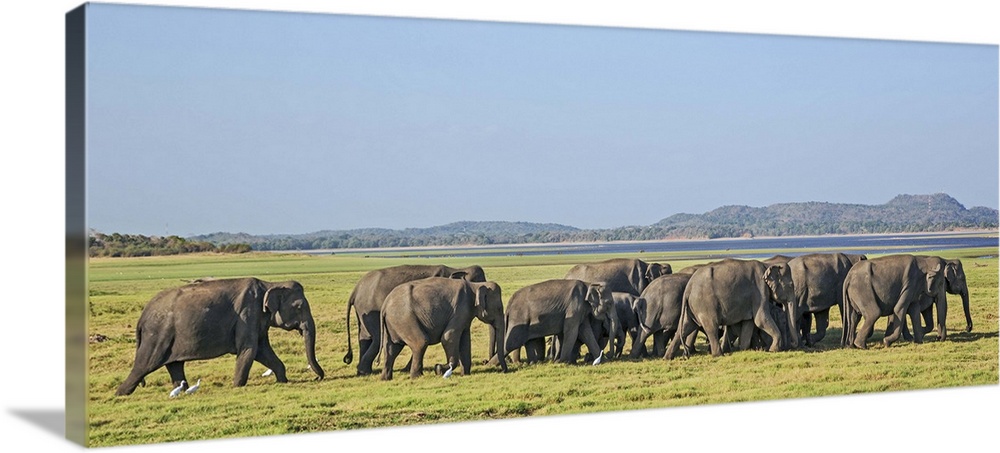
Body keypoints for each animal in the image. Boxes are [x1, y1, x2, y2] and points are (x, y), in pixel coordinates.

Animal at [116, 278, 324, 394]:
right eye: (299, 307)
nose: (318, 378)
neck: (270, 284)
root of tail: (142, 316)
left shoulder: (257, 320)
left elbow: (263, 350)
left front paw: (282, 381)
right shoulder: (247, 315)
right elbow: (249, 351)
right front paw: (237, 387)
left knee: (174, 365)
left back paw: (183, 391)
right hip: (157, 335)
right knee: (144, 365)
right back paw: (120, 394)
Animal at [342, 262, 486, 374]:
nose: (485, 362)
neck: (456, 269)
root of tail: (355, 290)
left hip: (363, 312)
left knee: (365, 337)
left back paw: (364, 371)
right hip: (370, 310)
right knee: (377, 338)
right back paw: (364, 371)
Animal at [376, 278, 504, 380]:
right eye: (499, 308)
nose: (505, 371)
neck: (475, 285)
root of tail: (384, 305)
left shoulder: (465, 315)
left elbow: (465, 341)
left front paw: (465, 374)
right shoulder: (460, 310)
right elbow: (448, 338)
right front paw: (438, 369)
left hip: (393, 324)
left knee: (391, 349)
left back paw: (385, 379)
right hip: (405, 319)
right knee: (420, 343)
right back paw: (417, 377)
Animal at [664, 260, 796, 358]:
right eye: (791, 285)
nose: (793, 345)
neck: (767, 265)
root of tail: (688, 288)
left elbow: (749, 322)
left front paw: (744, 349)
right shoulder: (760, 291)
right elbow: (760, 319)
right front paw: (774, 350)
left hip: (692, 307)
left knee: (685, 327)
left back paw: (668, 357)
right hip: (705, 305)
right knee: (711, 326)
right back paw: (719, 355)